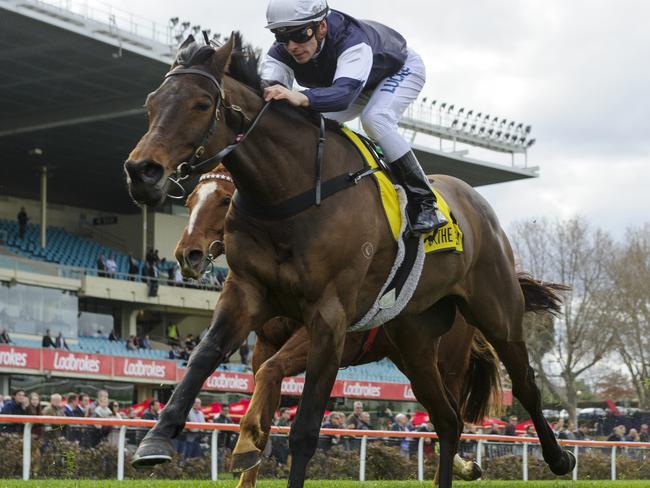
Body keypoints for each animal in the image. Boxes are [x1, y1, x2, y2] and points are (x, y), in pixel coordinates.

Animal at [172, 167, 496, 484]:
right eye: (189, 201)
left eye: (225, 200)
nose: (188, 254)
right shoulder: (264, 344)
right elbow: (265, 391)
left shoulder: (320, 332)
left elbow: (271, 371)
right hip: (409, 358)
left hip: (447, 364)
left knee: (453, 415)